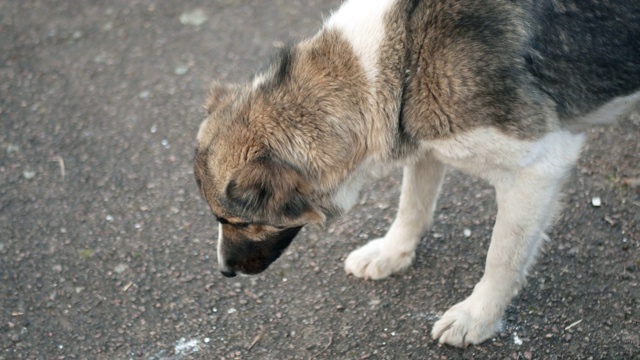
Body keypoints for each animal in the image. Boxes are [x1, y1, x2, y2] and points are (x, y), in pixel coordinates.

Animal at [194, 0, 640, 348]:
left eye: (236, 221)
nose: (223, 271)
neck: (402, 54)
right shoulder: (421, 138)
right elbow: (411, 206)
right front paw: (392, 254)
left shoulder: (540, 164)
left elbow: (502, 257)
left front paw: (477, 317)